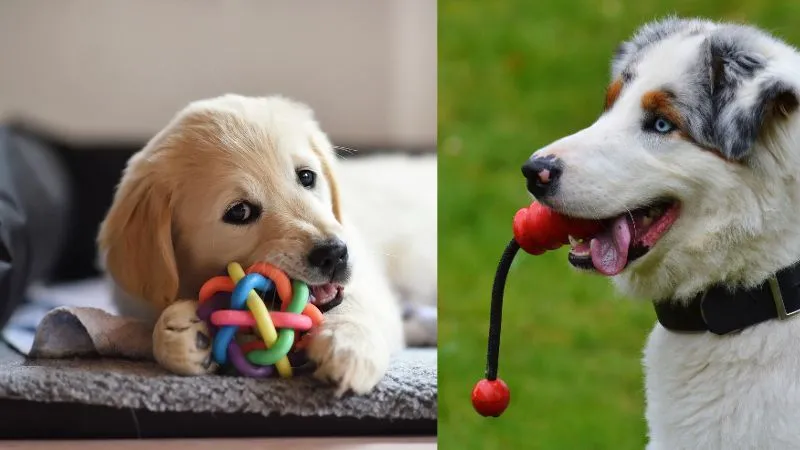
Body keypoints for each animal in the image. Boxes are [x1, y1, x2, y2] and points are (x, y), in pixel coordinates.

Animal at [100, 94, 438, 394]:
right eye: (239, 211)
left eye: (307, 177)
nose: (334, 254)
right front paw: (181, 333)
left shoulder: (367, 280)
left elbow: (356, 306)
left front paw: (347, 347)